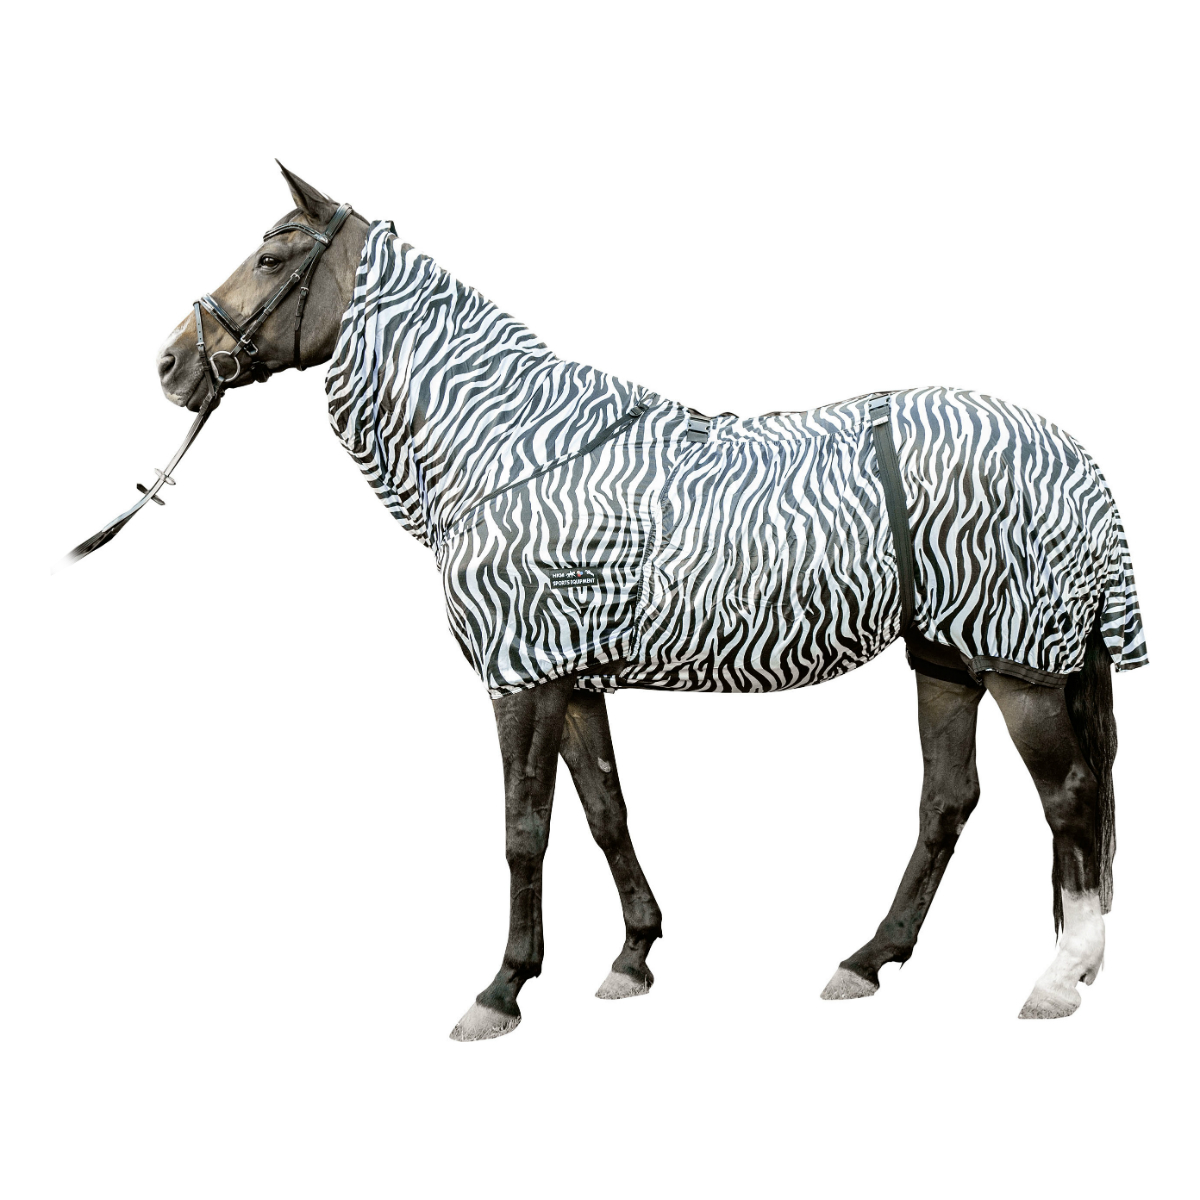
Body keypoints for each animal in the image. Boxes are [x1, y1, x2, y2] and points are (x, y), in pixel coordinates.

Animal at [149, 163, 1146, 1040]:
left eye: (272, 256)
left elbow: (524, 829)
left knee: (1067, 795)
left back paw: (1060, 977)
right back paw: (868, 960)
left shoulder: (523, 678)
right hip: (946, 657)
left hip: (1015, 666)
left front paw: (502, 989)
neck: (509, 447)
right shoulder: (572, 678)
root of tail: (1071, 454)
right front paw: (633, 956)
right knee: (949, 800)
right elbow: (604, 812)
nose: (169, 363)